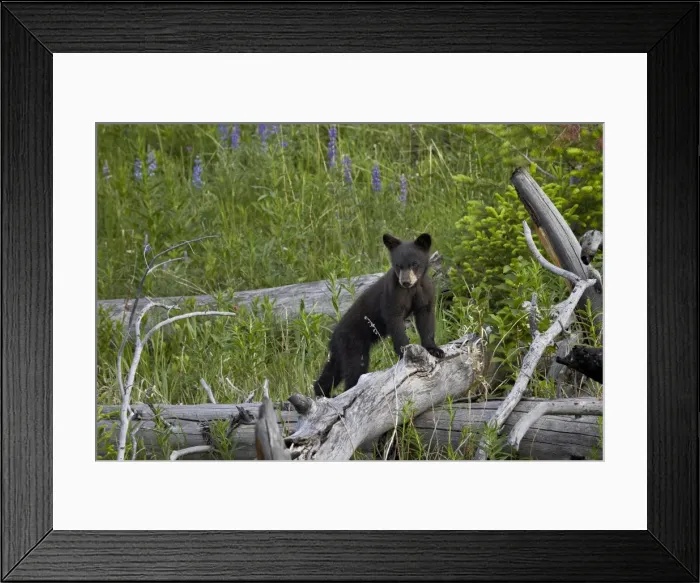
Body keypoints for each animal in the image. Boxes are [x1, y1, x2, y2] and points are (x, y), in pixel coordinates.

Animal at [313, 232, 445, 398]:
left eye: (414, 263)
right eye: (398, 265)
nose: (405, 281)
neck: (412, 289)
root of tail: (333, 337)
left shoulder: (425, 293)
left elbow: (426, 319)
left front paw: (435, 350)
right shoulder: (393, 296)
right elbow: (395, 321)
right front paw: (404, 351)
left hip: (343, 349)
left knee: (333, 370)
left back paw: (321, 392)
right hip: (353, 343)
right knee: (354, 369)